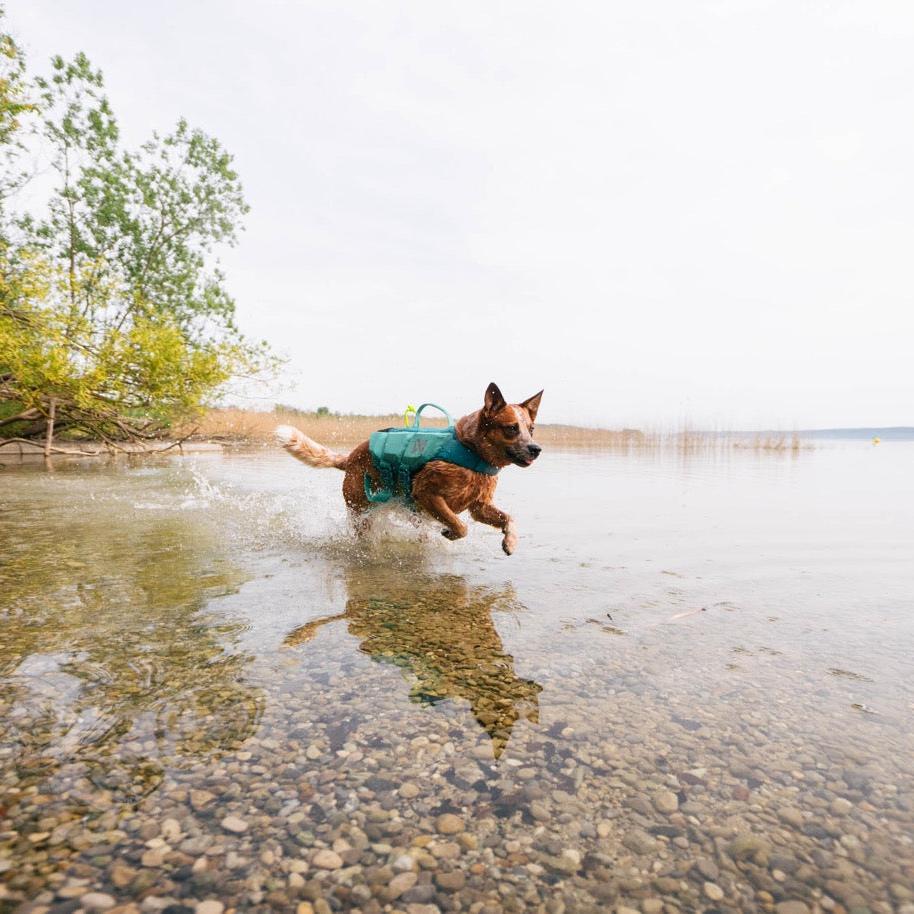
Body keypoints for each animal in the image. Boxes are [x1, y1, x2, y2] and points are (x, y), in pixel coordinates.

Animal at [274, 382, 536, 552]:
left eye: (531, 429)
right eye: (512, 428)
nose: (536, 449)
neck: (473, 454)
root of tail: (349, 458)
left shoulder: (479, 506)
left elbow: (508, 518)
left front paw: (510, 541)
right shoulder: (427, 493)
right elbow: (460, 526)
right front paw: (450, 533)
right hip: (361, 511)